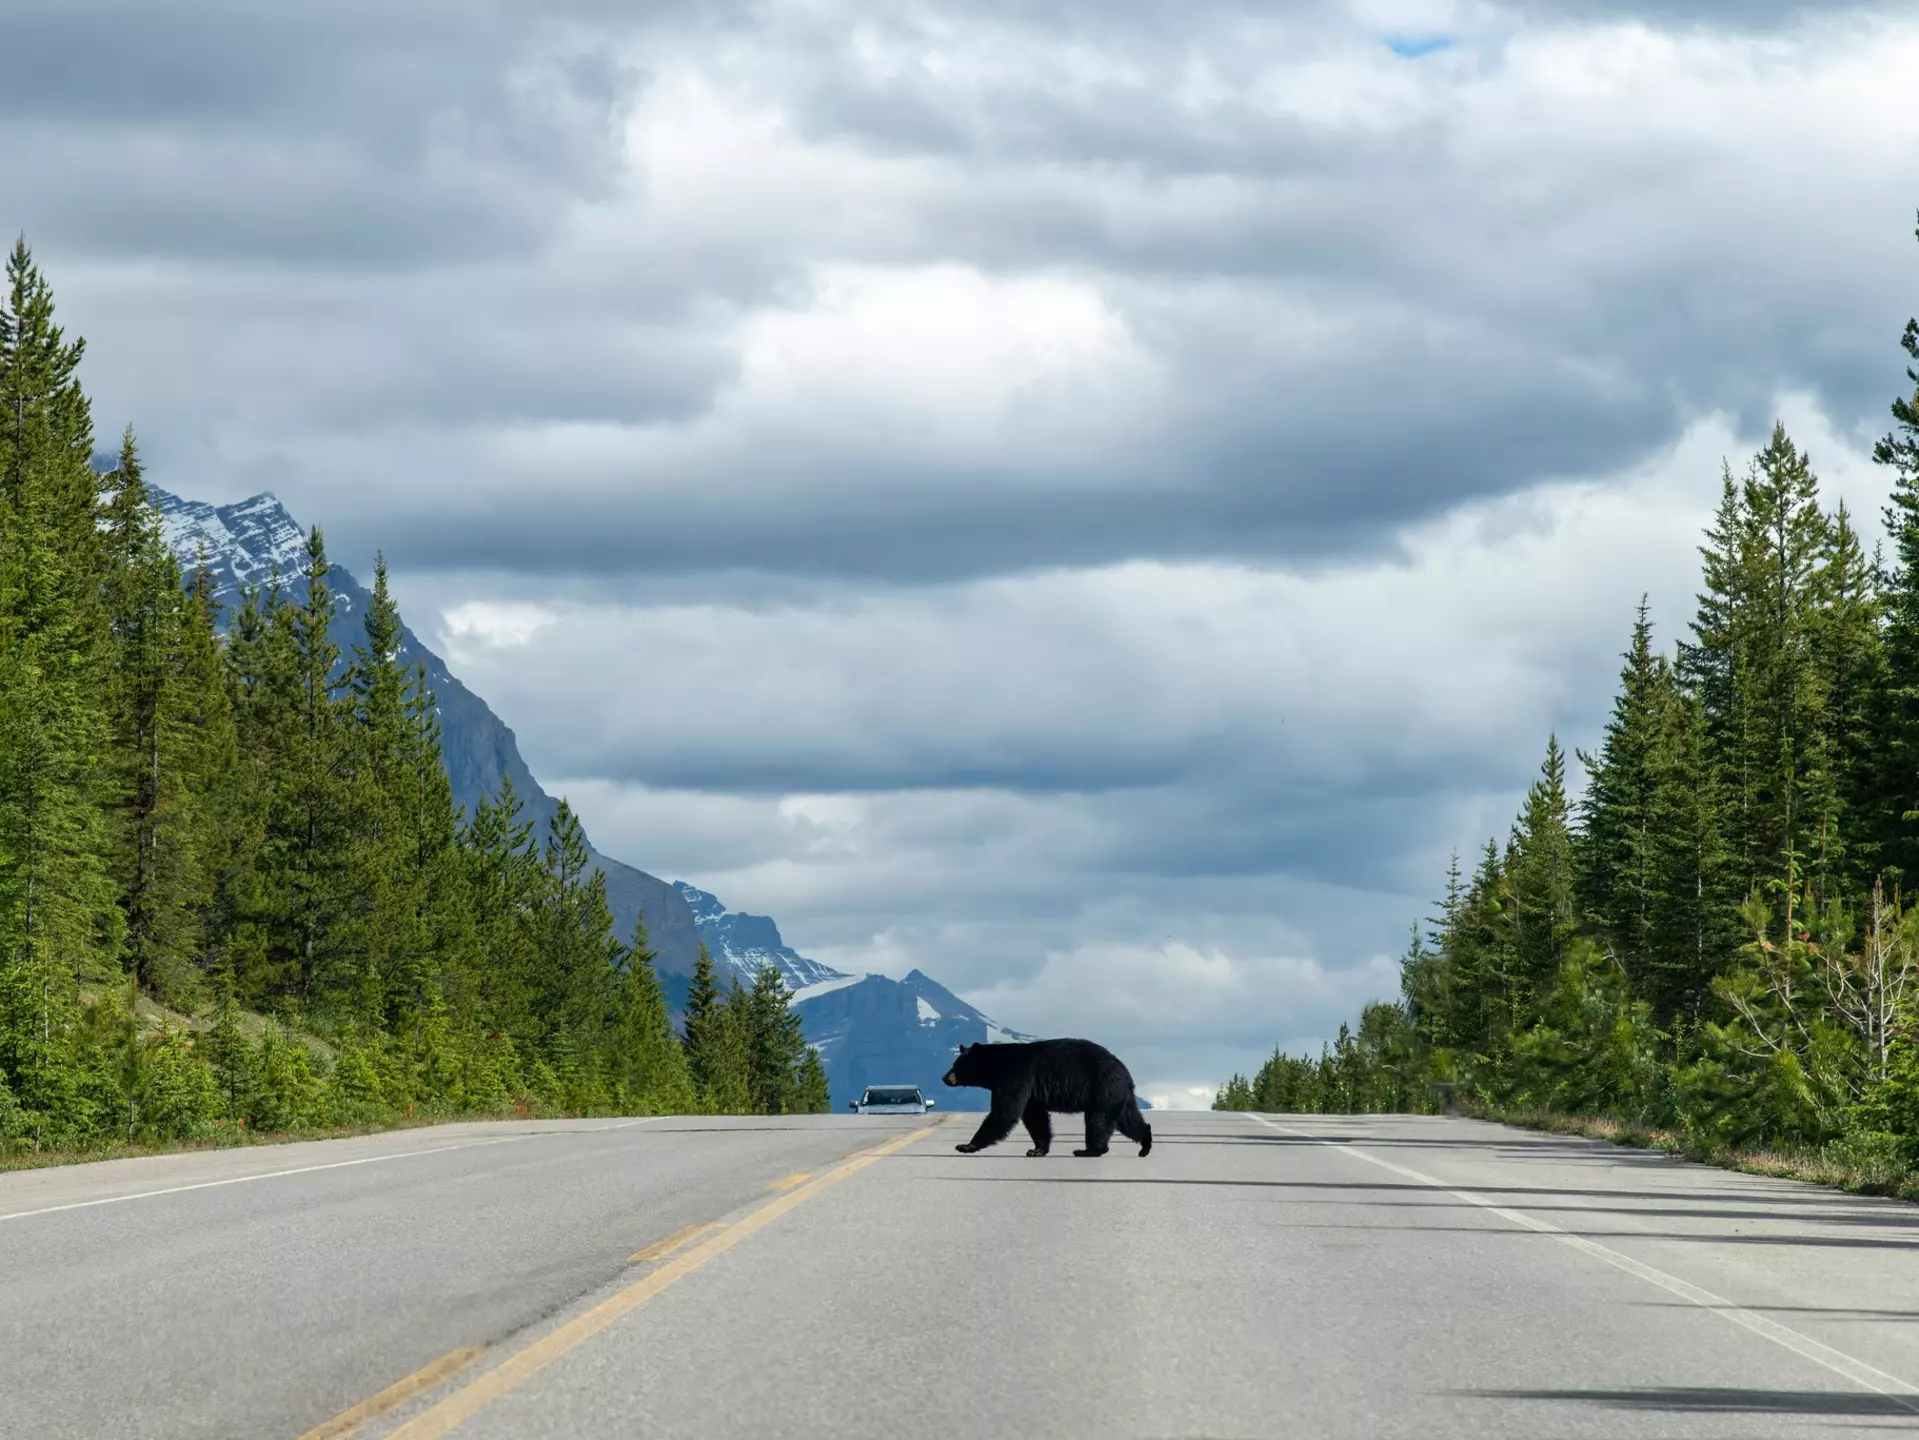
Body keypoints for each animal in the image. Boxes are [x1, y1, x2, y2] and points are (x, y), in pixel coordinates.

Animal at [942, 1038, 1153, 1158]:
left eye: (958, 1064)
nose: (945, 1078)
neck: (997, 1067)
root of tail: (1126, 1073)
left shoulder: (1017, 1076)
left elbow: (1005, 1113)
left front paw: (966, 1145)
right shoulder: (1032, 1093)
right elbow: (1036, 1118)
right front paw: (1037, 1150)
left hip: (1103, 1087)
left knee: (1098, 1120)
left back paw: (1088, 1151)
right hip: (1117, 1094)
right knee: (1129, 1119)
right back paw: (1145, 1145)